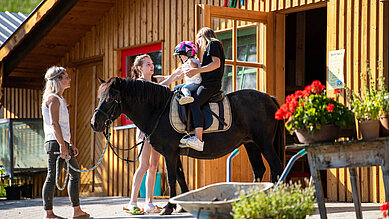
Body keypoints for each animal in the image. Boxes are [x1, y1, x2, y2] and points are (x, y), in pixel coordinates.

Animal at [91, 78, 284, 215]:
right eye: (99, 98)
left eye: (111, 98)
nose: (94, 123)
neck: (158, 111)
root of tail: (269, 98)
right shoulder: (175, 153)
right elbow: (181, 177)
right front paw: (182, 204)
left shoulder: (169, 153)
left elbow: (172, 178)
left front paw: (168, 207)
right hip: (251, 144)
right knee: (259, 170)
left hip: (264, 143)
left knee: (276, 166)